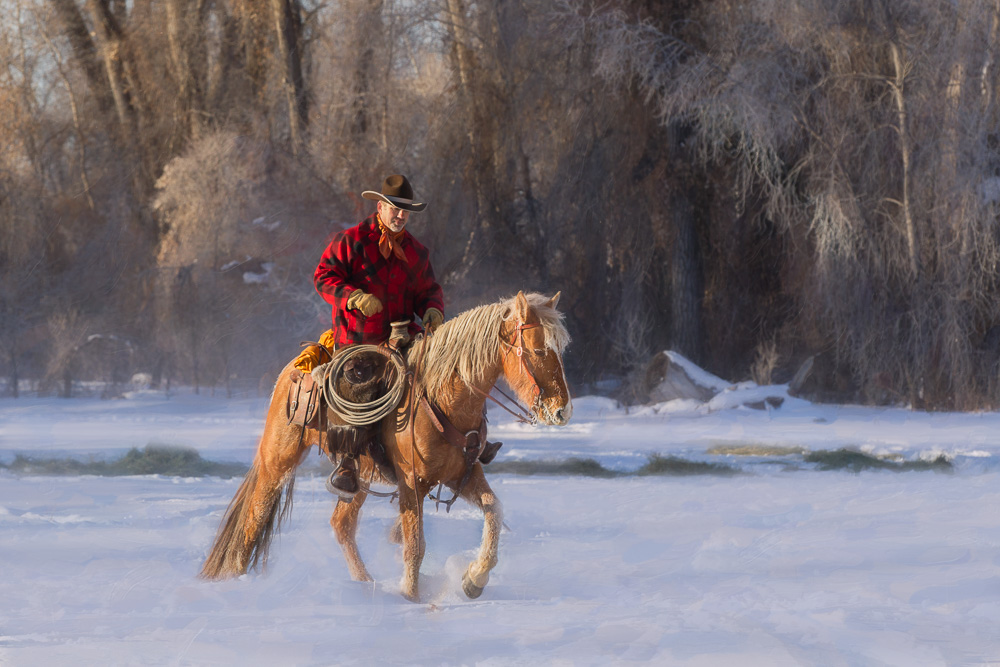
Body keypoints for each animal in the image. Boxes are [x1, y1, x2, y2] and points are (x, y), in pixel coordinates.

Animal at [200, 291, 572, 601]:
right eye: (537, 350)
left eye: (560, 350)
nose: (561, 411)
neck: (443, 399)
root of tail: (296, 368)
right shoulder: (412, 483)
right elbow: (415, 544)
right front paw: (411, 597)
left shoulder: (462, 475)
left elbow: (494, 510)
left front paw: (474, 578)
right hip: (278, 460)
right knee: (255, 517)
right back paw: (236, 577)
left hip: (359, 478)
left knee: (342, 524)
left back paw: (365, 584)